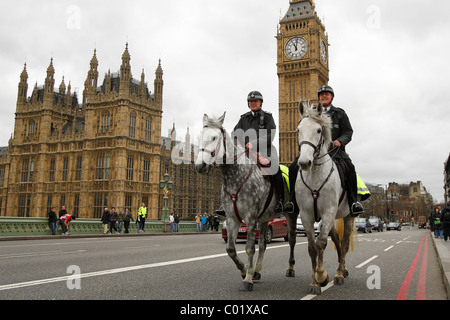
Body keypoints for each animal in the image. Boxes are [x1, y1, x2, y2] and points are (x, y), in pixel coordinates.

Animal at [194, 112, 298, 292]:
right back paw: (257, 271)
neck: (234, 176)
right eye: (200, 137)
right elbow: (230, 249)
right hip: (264, 218)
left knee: (292, 239)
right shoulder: (232, 218)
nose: (200, 165)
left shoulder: (250, 217)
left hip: (291, 213)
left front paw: (248, 279)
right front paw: (244, 271)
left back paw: (290, 268)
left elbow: (249, 248)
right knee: (263, 245)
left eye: (214, 137)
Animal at [296, 102, 356, 296]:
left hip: (348, 215)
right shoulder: (306, 214)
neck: (315, 174)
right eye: (298, 129)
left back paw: (339, 274)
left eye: (318, 130)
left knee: (344, 243)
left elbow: (321, 242)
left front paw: (322, 275)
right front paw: (315, 282)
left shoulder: (329, 211)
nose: (304, 163)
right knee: (336, 240)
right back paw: (342, 269)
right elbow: (312, 246)